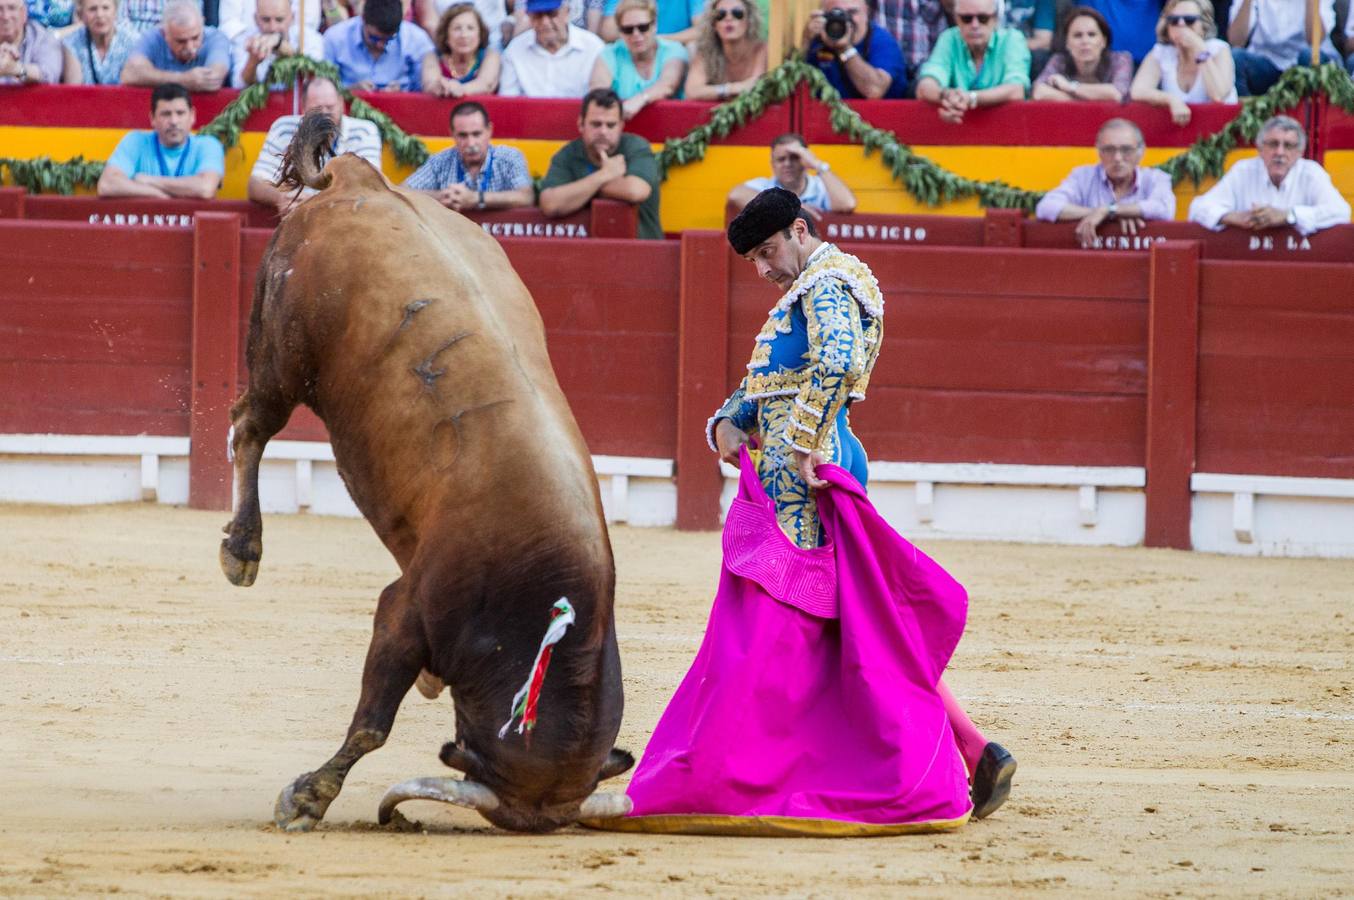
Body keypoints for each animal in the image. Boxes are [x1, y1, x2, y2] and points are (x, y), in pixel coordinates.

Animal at [217, 112, 633, 833]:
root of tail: (361, 177)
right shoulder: (407, 613)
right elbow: (372, 723)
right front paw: (305, 798)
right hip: (283, 355)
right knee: (251, 425)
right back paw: (242, 550)